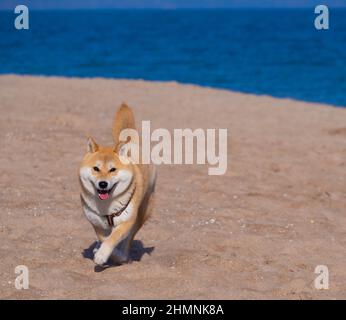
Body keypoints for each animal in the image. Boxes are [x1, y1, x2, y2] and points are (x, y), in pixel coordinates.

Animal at [79, 104, 156, 266]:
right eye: (96, 168)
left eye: (113, 169)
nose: (103, 184)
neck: (106, 206)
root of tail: (131, 144)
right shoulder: (96, 223)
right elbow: (104, 238)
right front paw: (101, 251)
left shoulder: (126, 221)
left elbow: (113, 239)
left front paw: (104, 255)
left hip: (143, 212)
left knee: (129, 239)